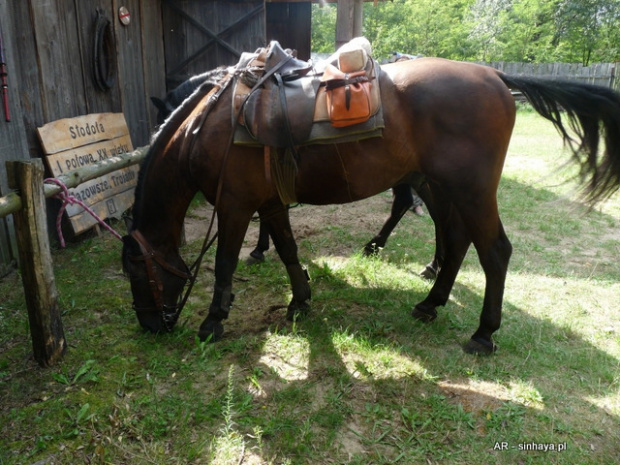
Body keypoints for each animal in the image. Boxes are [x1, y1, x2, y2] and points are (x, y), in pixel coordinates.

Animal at [122, 59, 620, 356]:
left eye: (134, 270)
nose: (149, 324)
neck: (209, 127)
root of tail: (496, 76)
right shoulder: (271, 203)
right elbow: (287, 250)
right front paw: (300, 300)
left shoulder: (235, 205)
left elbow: (225, 264)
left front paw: (212, 321)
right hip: (443, 187)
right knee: (456, 240)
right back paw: (431, 301)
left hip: (470, 190)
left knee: (494, 251)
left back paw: (483, 333)